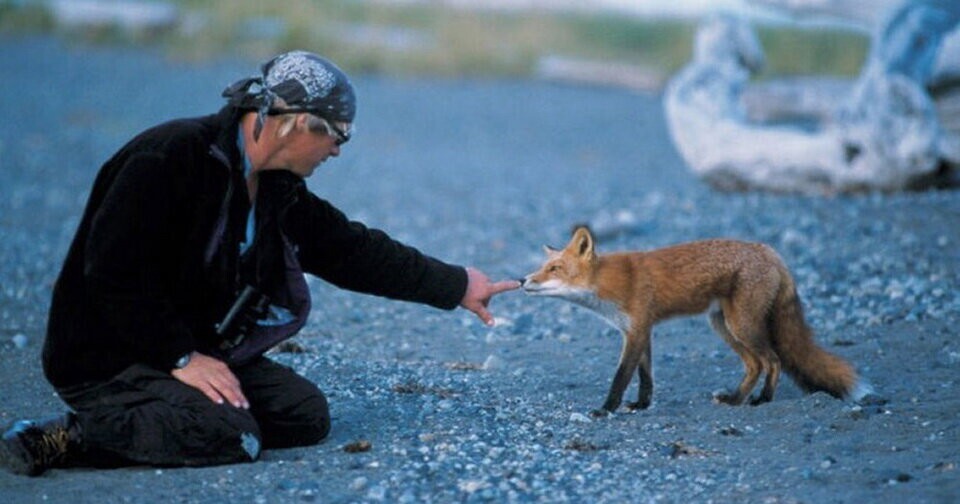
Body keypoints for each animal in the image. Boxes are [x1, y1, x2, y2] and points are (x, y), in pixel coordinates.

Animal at [520, 226, 872, 416]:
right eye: (542, 266)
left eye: (554, 269)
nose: (522, 279)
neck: (611, 284)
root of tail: (770, 251)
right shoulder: (640, 330)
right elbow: (645, 376)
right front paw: (641, 405)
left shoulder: (636, 330)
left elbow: (621, 377)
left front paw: (606, 409)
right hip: (723, 326)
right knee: (755, 365)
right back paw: (735, 399)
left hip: (742, 326)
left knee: (772, 361)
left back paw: (762, 400)